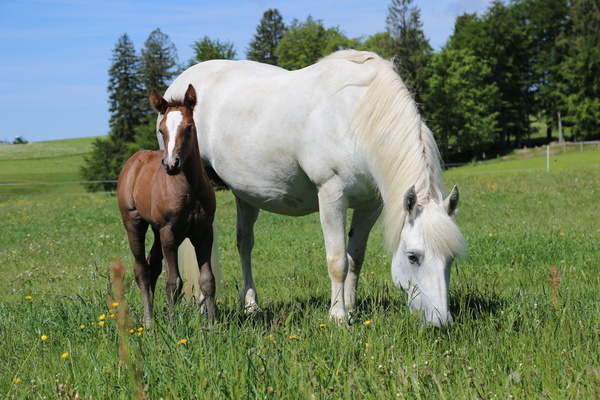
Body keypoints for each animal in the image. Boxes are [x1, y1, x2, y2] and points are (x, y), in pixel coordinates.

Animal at [162, 50, 466, 324]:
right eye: (413, 257)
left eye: (452, 258)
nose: (441, 321)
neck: (356, 115)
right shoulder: (331, 194)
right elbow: (338, 260)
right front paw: (338, 316)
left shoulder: (369, 205)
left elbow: (355, 257)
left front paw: (351, 308)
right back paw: (204, 307)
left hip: (245, 194)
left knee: (244, 243)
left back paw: (251, 306)